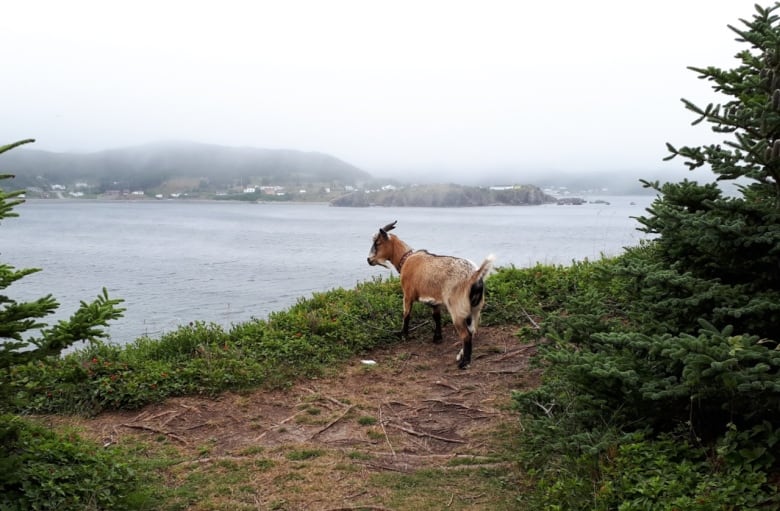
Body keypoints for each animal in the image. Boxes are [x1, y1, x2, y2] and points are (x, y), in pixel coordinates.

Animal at [368, 220, 494, 368]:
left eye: (377, 243)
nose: (369, 260)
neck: (406, 260)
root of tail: (475, 275)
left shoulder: (407, 294)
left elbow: (406, 314)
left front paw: (403, 335)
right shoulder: (435, 300)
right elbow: (436, 317)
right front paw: (437, 338)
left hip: (457, 307)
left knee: (466, 334)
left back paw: (464, 363)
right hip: (475, 308)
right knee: (472, 330)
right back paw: (461, 355)